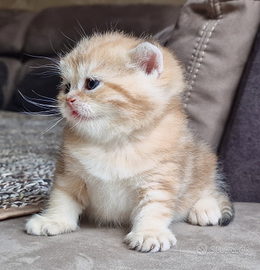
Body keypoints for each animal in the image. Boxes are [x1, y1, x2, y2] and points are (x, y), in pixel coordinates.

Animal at [25, 32, 235, 253]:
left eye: (91, 84)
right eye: (66, 87)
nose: (69, 100)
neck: (114, 142)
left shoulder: (160, 179)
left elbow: (154, 208)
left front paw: (149, 233)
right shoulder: (70, 173)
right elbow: (62, 197)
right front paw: (53, 220)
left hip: (204, 159)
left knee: (209, 186)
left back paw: (206, 208)